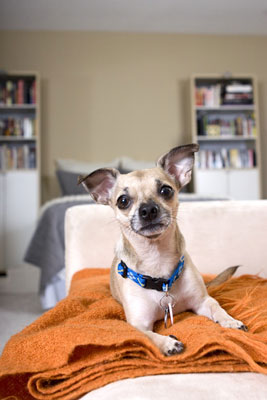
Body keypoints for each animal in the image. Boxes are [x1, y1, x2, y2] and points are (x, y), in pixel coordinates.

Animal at [79, 145, 249, 356]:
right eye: (123, 201)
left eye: (166, 190)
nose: (148, 210)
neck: (156, 258)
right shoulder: (138, 324)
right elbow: (148, 336)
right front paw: (168, 343)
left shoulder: (202, 302)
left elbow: (217, 307)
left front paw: (230, 321)